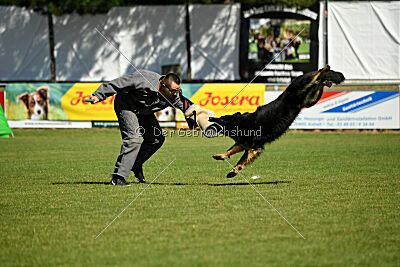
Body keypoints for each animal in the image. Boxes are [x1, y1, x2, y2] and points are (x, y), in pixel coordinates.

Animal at [209, 65, 344, 178]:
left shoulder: (246, 142)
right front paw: (233, 171)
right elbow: (241, 161)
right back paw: (325, 80)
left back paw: (325, 68)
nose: (210, 118)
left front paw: (221, 156)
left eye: (221, 118)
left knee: (315, 75)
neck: (240, 123)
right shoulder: (254, 148)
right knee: (319, 82)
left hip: (301, 85)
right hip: (310, 100)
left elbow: (231, 150)